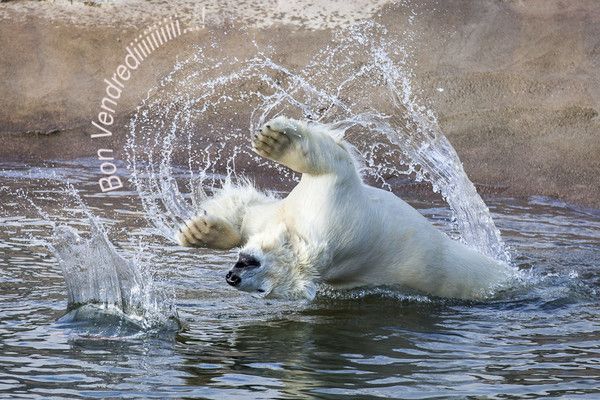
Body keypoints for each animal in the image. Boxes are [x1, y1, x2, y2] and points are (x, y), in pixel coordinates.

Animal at [175, 115, 510, 300]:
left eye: (262, 289)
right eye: (249, 263)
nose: (232, 278)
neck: (300, 234)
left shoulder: (332, 210)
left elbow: (332, 164)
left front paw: (277, 141)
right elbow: (250, 216)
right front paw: (199, 231)